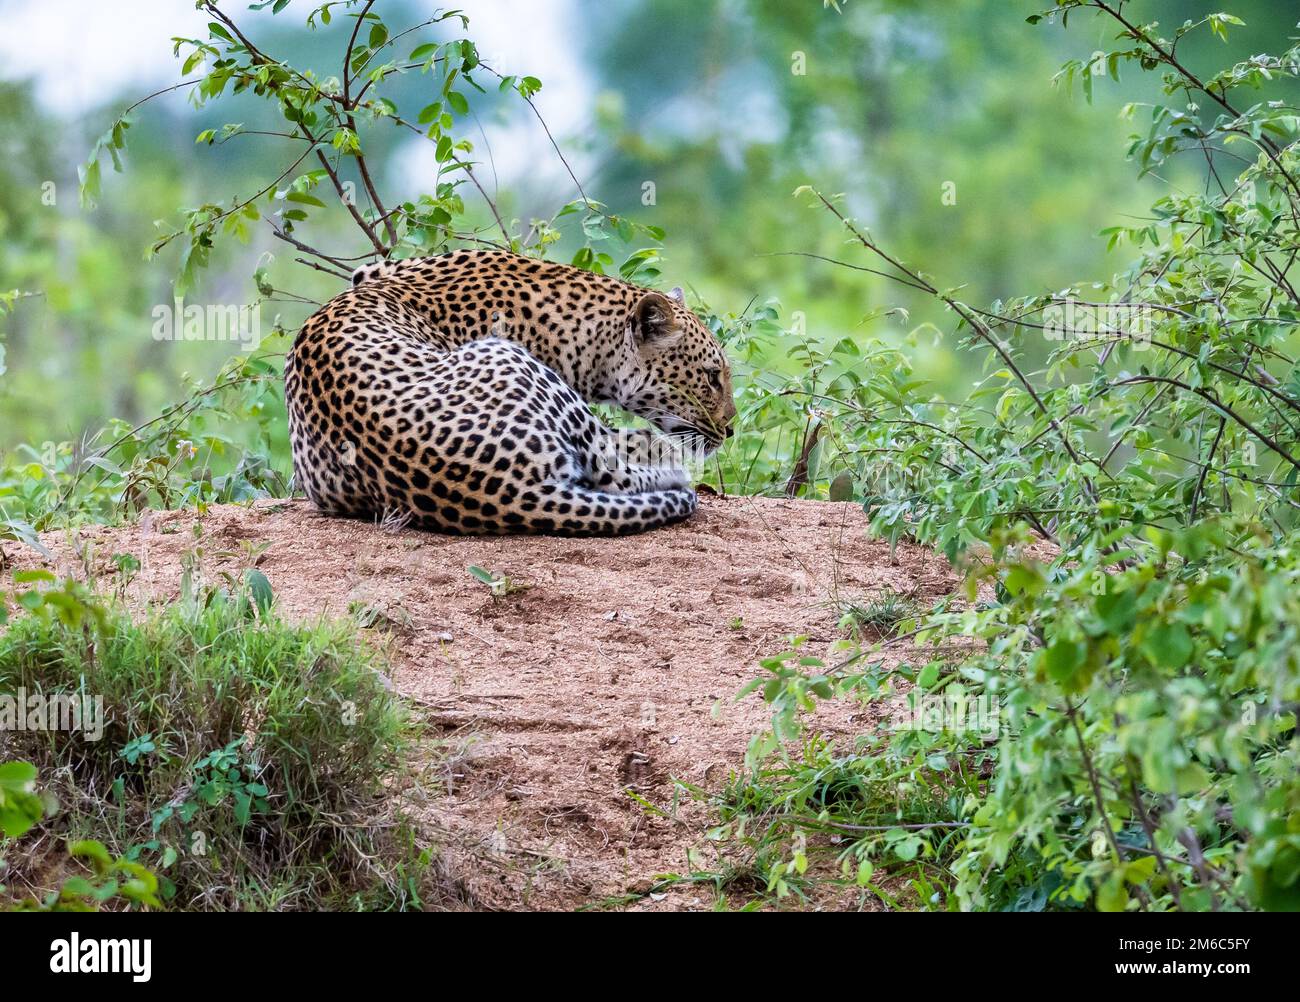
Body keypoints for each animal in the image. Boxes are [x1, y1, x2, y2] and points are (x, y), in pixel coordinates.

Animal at [283, 249, 736, 536]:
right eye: (712, 376)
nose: (731, 428)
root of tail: (510, 494)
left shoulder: (369, 271)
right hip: (521, 368)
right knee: (614, 466)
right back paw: (672, 466)